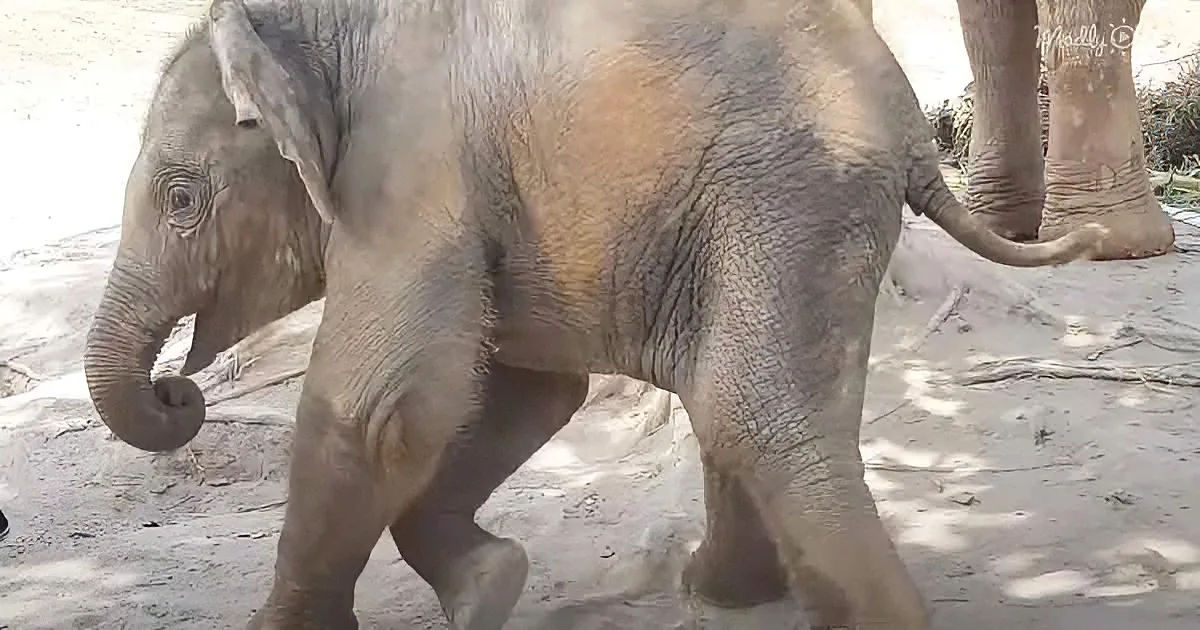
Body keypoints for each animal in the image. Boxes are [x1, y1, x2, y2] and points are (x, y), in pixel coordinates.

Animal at [82, 0, 1105, 628]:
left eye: (181, 200)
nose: (176, 392)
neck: (309, 26)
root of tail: (915, 131)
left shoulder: (406, 166)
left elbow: (381, 409)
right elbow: (526, 390)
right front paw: (489, 590)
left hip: (787, 191)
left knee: (754, 409)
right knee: (743, 401)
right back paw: (722, 592)